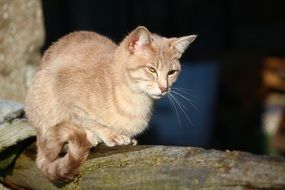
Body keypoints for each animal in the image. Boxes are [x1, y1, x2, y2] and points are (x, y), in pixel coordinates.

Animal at [24, 26, 195, 182]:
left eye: (171, 72)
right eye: (151, 69)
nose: (164, 88)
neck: (136, 101)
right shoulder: (61, 84)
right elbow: (85, 119)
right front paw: (109, 134)